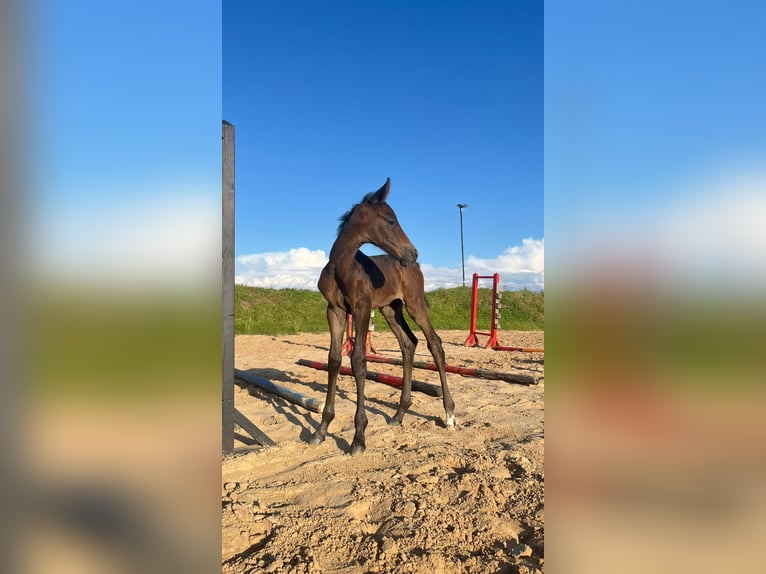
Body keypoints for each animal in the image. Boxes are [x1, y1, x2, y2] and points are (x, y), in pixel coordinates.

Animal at [310, 178, 456, 456]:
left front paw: (358, 438)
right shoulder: (334, 310)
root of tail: (416, 268)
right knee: (409, 343)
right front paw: (321, 430)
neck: (342, 267)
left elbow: (358, 361)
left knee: (435, 343)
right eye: (390, 221)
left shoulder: (362, 308)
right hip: (391, 309)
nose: (413, 253)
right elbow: (334, 360)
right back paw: (399, 414)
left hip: (414, 304)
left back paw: (450, 414)